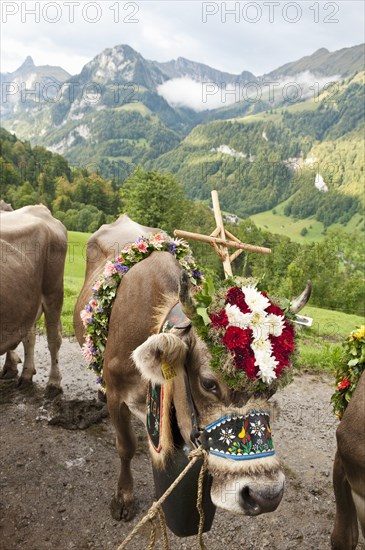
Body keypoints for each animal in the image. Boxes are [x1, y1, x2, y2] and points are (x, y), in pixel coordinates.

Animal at [74, 215, 310, 536]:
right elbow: (125, 447)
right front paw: (123, 498)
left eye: (272, 389)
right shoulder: (115, 393)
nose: (266, 495)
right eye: (209, 383)